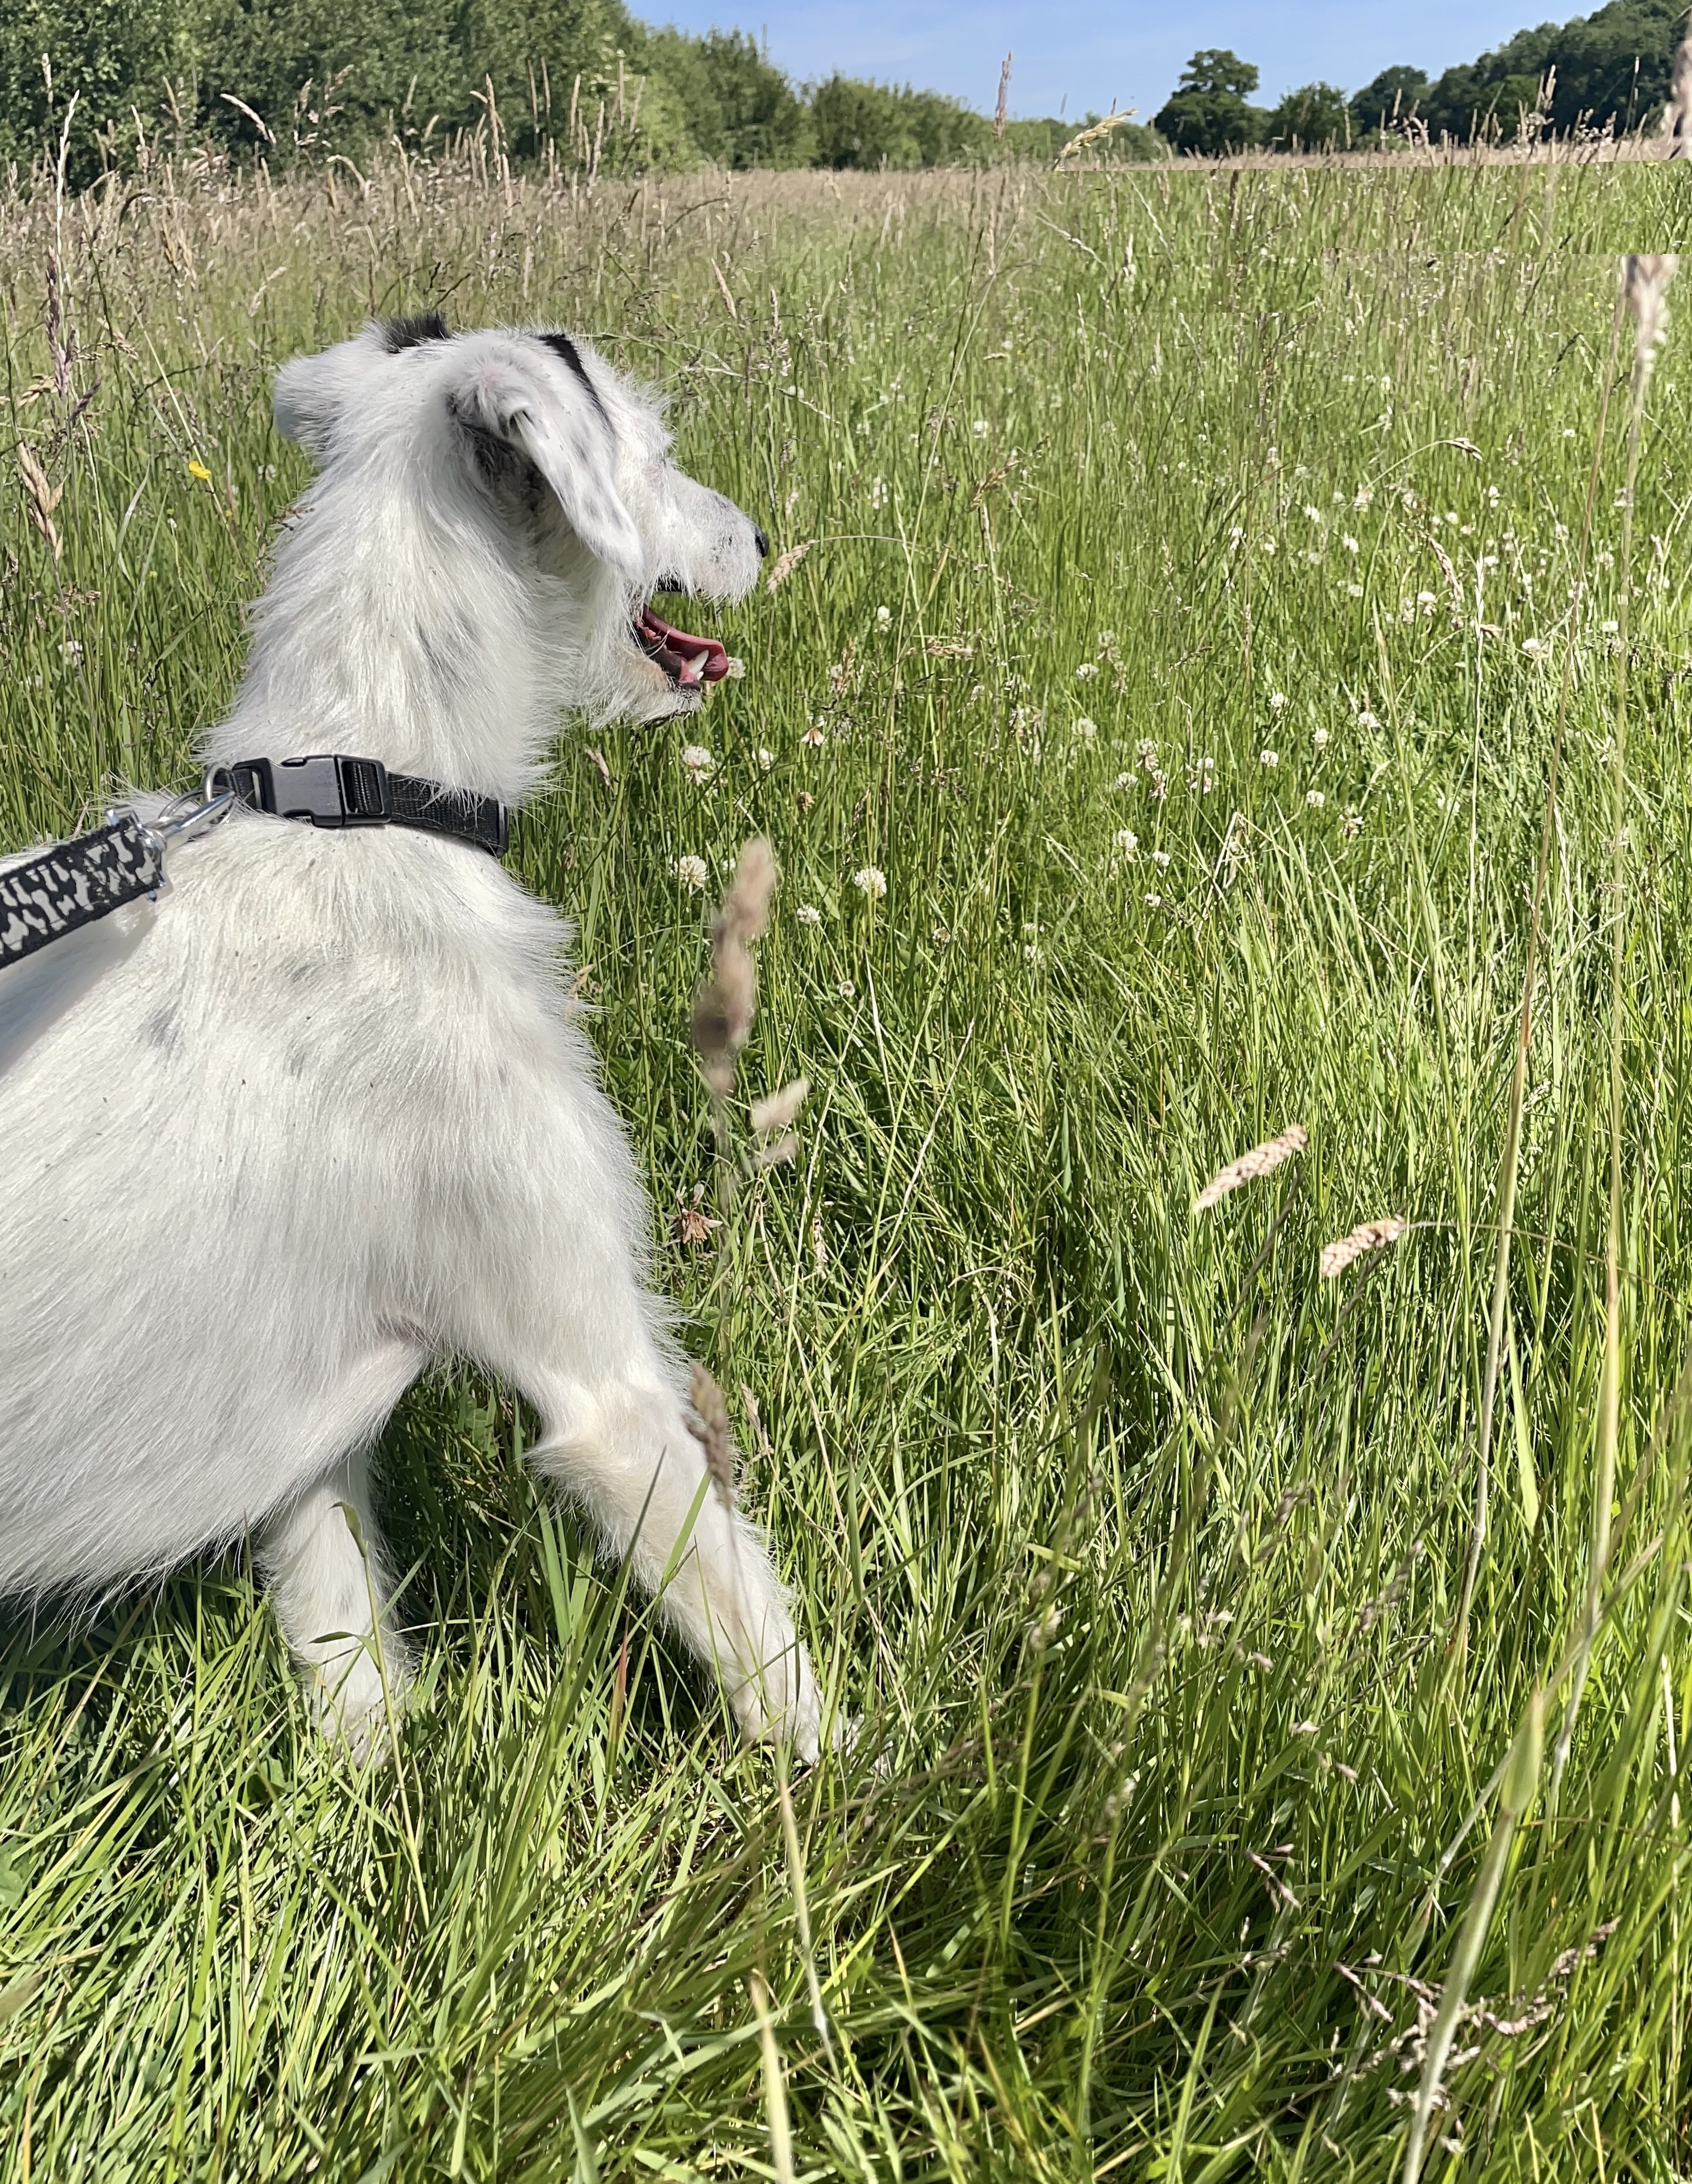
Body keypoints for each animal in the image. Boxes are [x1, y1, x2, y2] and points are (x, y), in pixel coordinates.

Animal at [0, 313, 828, 1761]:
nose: (761, 535)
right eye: (652, 450)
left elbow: (357, 1692)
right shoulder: (603, 1390)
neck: (361, 797)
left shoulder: (308, 1440)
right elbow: (779, 1671)